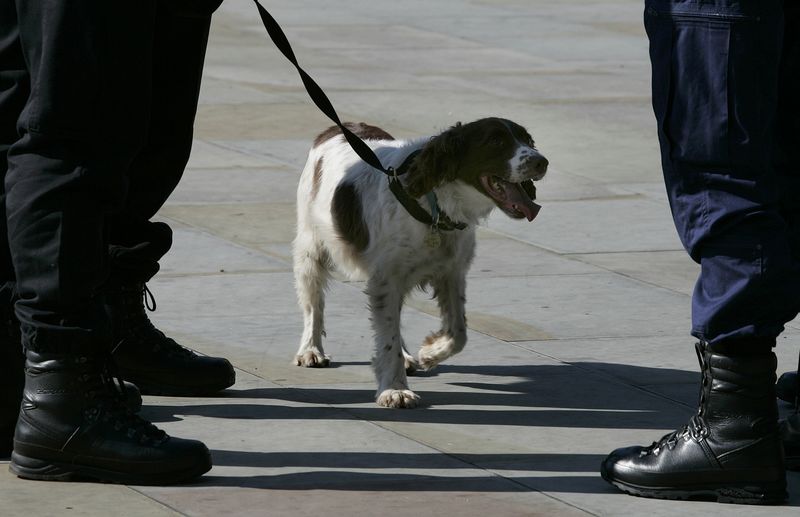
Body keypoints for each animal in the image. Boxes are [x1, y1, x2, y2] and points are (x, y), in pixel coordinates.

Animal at [290, 118, 548, 408]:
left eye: (528, 140)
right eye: (496, 141)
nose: (542, 162)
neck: (435, 207)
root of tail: (341, 125)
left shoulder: (451, 273)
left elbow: (458, 332)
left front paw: (429, 353)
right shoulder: (386, 279)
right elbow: (387, 339)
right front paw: (395, 389)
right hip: (310, 249)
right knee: (314, 306)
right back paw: (310, 350)